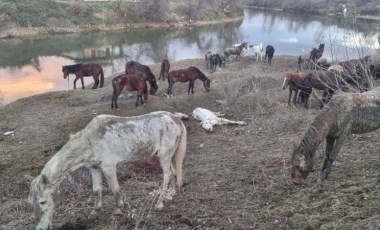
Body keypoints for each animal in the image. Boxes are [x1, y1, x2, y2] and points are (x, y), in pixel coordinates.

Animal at [27, 110, 188, 229]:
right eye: (31, 203)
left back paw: (160, 203)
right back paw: (170, 194)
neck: (89, 141)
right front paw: (94, 211)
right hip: (170, 155)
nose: (40, 228)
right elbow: (96, 190)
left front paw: (118, 210)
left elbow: (114, 189)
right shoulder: (95, 168)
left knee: (167, 175)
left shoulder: (108, 167)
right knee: (173, 173)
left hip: (164, 155)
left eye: (42, 202)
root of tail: (176, 119)